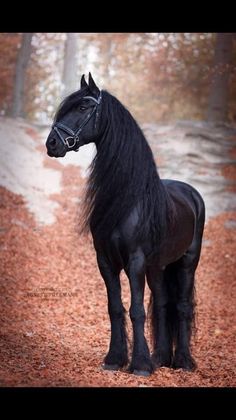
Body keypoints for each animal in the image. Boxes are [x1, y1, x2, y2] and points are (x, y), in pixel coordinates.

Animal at [46, 73, 205, 378]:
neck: (127, 200)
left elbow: (136, 310)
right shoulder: (106, 261)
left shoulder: (135, 261)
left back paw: (183, 361)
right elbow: (116, 308)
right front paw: (115, 359)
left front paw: (140, 365)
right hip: (158, 267)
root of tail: (191, 194)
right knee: (163, 303)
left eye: (83, 106)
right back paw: (161, 358)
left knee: (181, 307)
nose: (51, 144)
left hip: (187, 263)